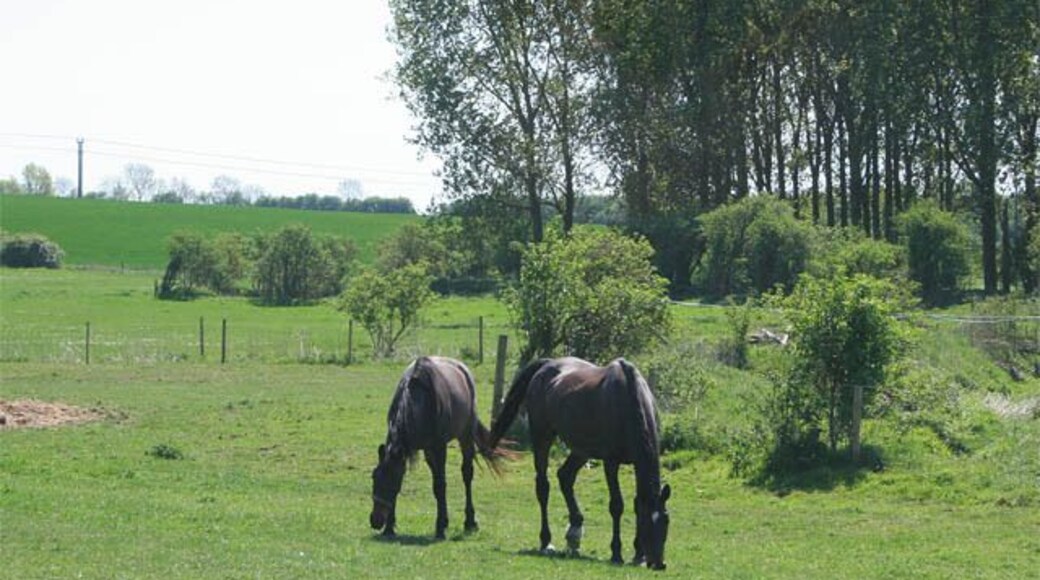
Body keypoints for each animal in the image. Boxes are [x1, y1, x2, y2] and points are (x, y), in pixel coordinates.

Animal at [370, 356, 511, 539]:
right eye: (374, 477)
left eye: (392, 480)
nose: (376, 520)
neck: (418, 400)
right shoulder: (418, 451)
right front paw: (389, 528)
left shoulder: (439, 447)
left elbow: (440, 485)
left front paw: (440, 529)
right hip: (430, 451)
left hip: (465, 436)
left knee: (467, 474)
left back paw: (470, 522)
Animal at [489, 357, 672, 571]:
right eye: (647, 523)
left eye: (666, 520)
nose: (658, 563)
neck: (628, 400)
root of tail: (547, 365)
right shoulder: (611, 463)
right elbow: (616, 505)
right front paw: (616, 552)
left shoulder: (635, 463)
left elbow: (637, 502)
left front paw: (638, 554)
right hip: (543, 437)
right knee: (543, 487)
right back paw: (546, 541)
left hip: (581, 451)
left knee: (565, 476)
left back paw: (575, 532)